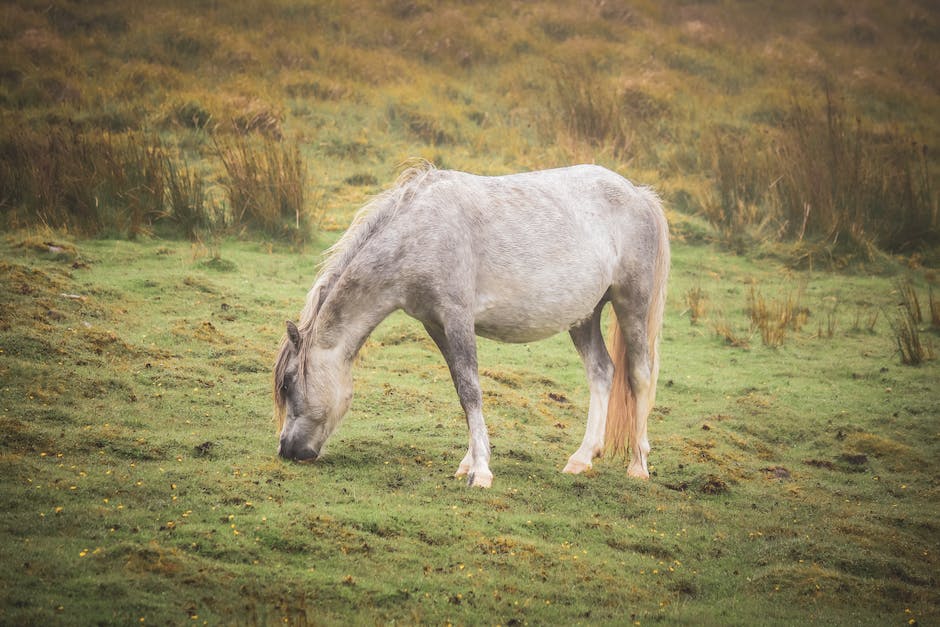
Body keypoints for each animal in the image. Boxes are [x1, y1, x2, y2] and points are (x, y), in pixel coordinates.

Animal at [272, 164, 668, 488]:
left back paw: (638, 465)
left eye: (288, 383)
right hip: (584, 316)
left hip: (631, 303)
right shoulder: (436, 325)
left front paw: (481, 472)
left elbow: (471, 390)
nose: (287, 450)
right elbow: (462, 392)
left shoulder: (458, 318)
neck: (418, 232)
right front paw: (470, 461)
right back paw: (581, 459)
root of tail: (638, 193)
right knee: (602, 372)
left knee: (639, 376)